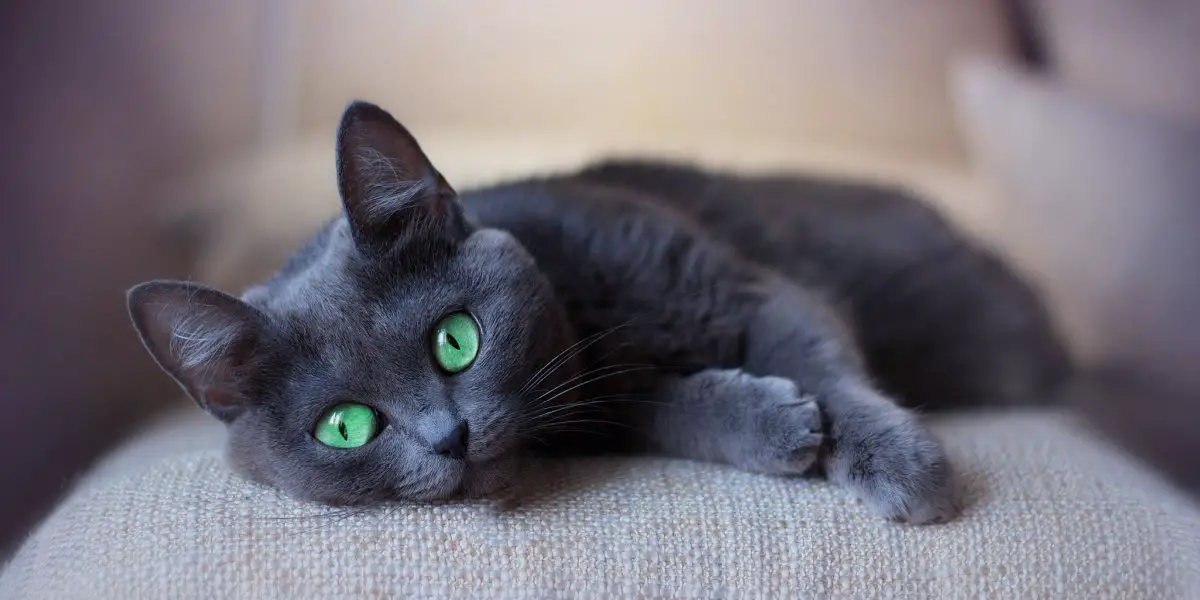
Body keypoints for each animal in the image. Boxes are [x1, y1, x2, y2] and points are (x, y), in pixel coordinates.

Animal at [129, 100, 1070, 523]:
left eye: (456, 340)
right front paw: (773, 426)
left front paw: (904, 469)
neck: (595, 331)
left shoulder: (745, 288)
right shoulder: (606, 409)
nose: (449, 438)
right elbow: (672, 412)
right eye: (347, 427)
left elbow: (826, 363)